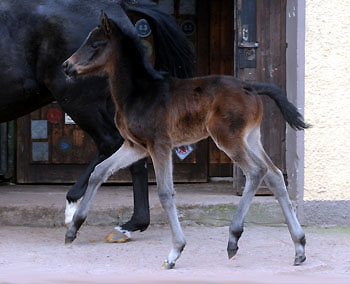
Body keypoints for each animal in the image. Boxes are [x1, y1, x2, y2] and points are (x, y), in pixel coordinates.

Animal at [62, 11, 306, 268]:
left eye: (95, 44)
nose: (67, 66)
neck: (138, 93)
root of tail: (250, 87)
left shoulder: (159, 145)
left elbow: (165, 192)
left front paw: (175, 251)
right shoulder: (135, 146)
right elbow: (99, 171)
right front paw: (73, 228)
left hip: (228, 138)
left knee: (256, 172)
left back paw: (233, 238)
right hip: (250, 139)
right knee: (275, 175)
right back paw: (299, 247)